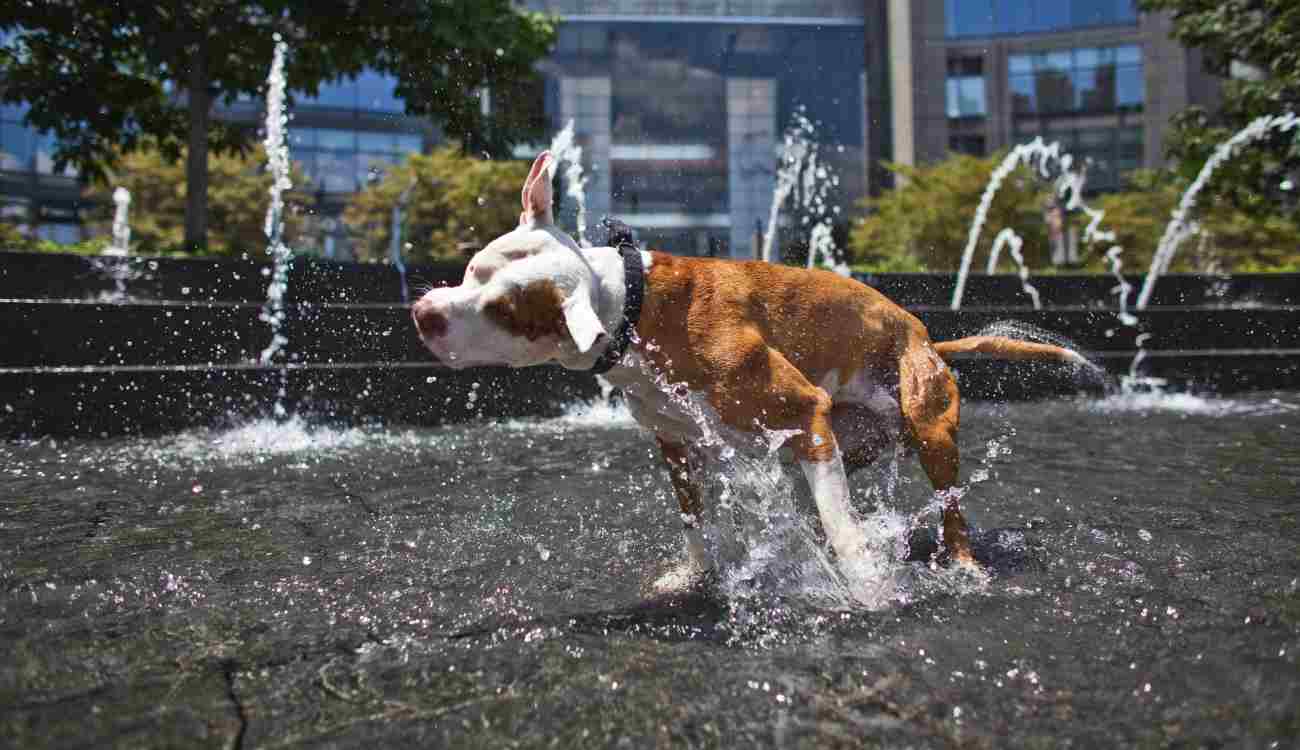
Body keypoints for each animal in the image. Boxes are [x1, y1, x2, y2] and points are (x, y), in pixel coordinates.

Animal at [413, 152, 1086, 582]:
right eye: (472, 268)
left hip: (925, 427)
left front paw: (867, 586)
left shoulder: (802, 409)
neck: (633, 306)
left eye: (503, 311)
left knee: (946, 505)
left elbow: (843, 530)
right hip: (840, 441)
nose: (423, 313)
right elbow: (695, 521)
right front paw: (695, 575)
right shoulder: (677, 444)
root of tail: (925, 334)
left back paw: (962, 562)